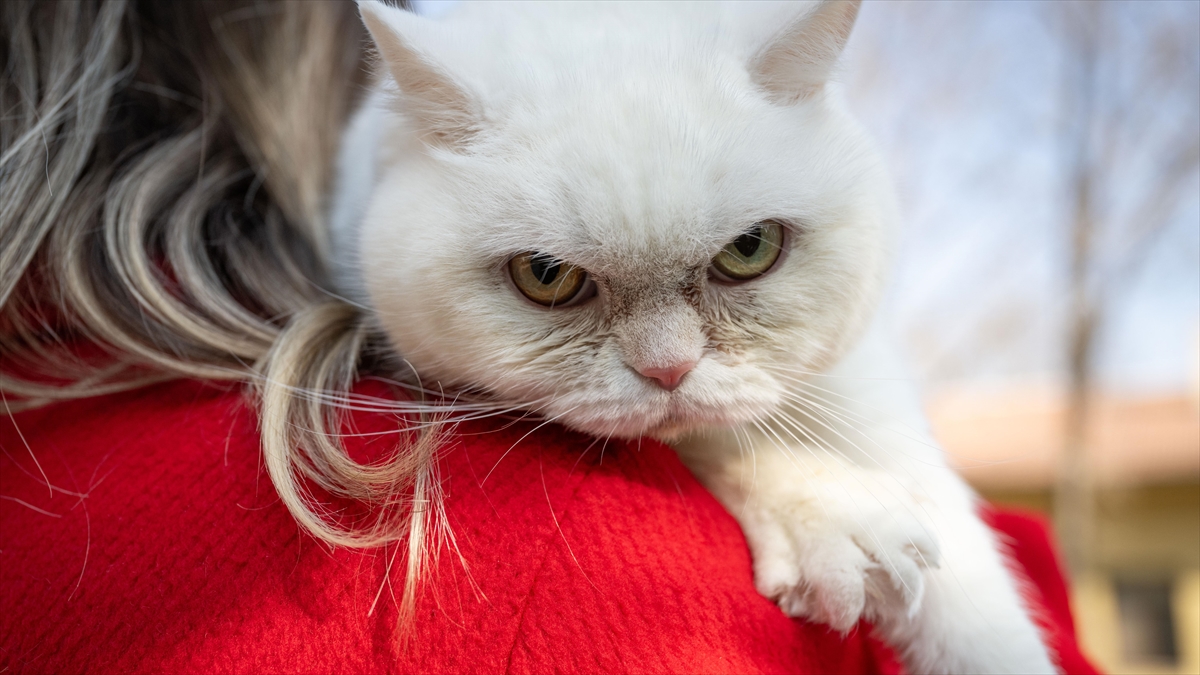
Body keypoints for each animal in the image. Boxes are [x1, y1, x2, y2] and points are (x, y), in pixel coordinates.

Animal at [331, 2, 1060, 667]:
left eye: (749, 248)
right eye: (545, 275)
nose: (668, 370)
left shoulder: (872, 400)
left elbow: (984, 624)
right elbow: (725, 436)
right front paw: (836, 520)